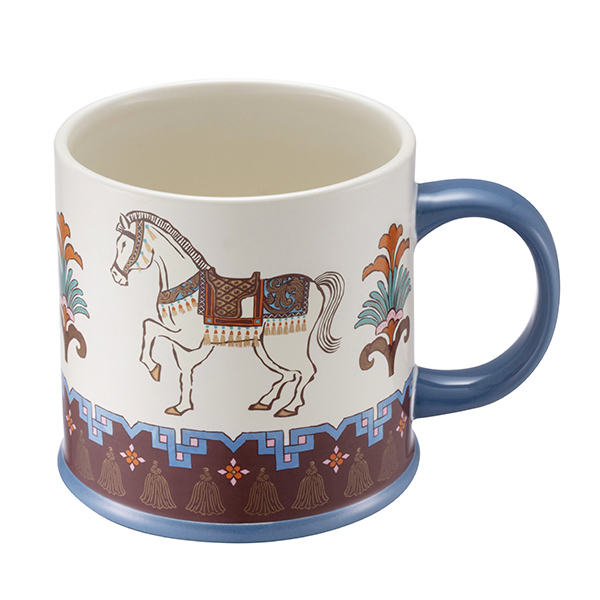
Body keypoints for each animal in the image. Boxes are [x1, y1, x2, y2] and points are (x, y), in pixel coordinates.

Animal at [110, 211, 344, 418]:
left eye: (124, 244)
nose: (115, 275)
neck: (187, 285)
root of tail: (315, 284)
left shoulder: (188, 338)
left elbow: (150, 327)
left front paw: (153, 368)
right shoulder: (186, 343)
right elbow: (184, 371)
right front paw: (181, 407)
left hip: (284, 344)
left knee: (306, 370)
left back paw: (289, 408)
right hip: (264, 347)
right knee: (290, 373)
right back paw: (264, 402)